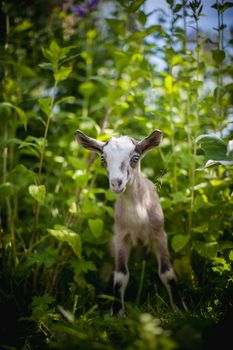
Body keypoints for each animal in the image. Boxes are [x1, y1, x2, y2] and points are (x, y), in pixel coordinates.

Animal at [75, 129, 187, 314]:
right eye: (103, 159)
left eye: (135, 158)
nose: (116, 183)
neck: (138, 216)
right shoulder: (121, 236)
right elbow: (121, 275)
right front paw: (116, 312)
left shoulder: (159, 234)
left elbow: (167, 272)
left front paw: (180, 308)